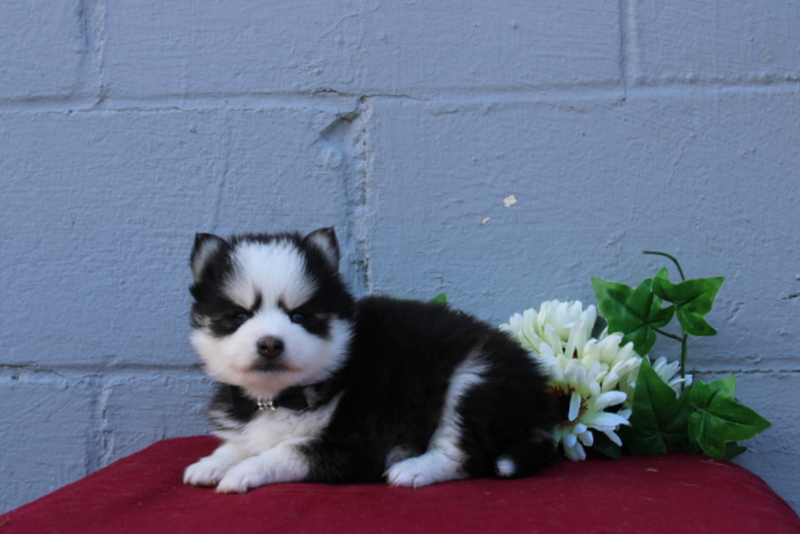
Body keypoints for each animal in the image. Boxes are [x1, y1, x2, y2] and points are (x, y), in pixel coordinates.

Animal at [184, 227, 560, 494]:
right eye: (239, 316)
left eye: (300, 316)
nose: (270, 345)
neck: (279, 397)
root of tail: (540, 398)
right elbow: (242, 444)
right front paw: (214, 462)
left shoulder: (356, 443)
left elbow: (287, 450)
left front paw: (243, 471)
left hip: (474, 379)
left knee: (461, 454)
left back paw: (413, 468)